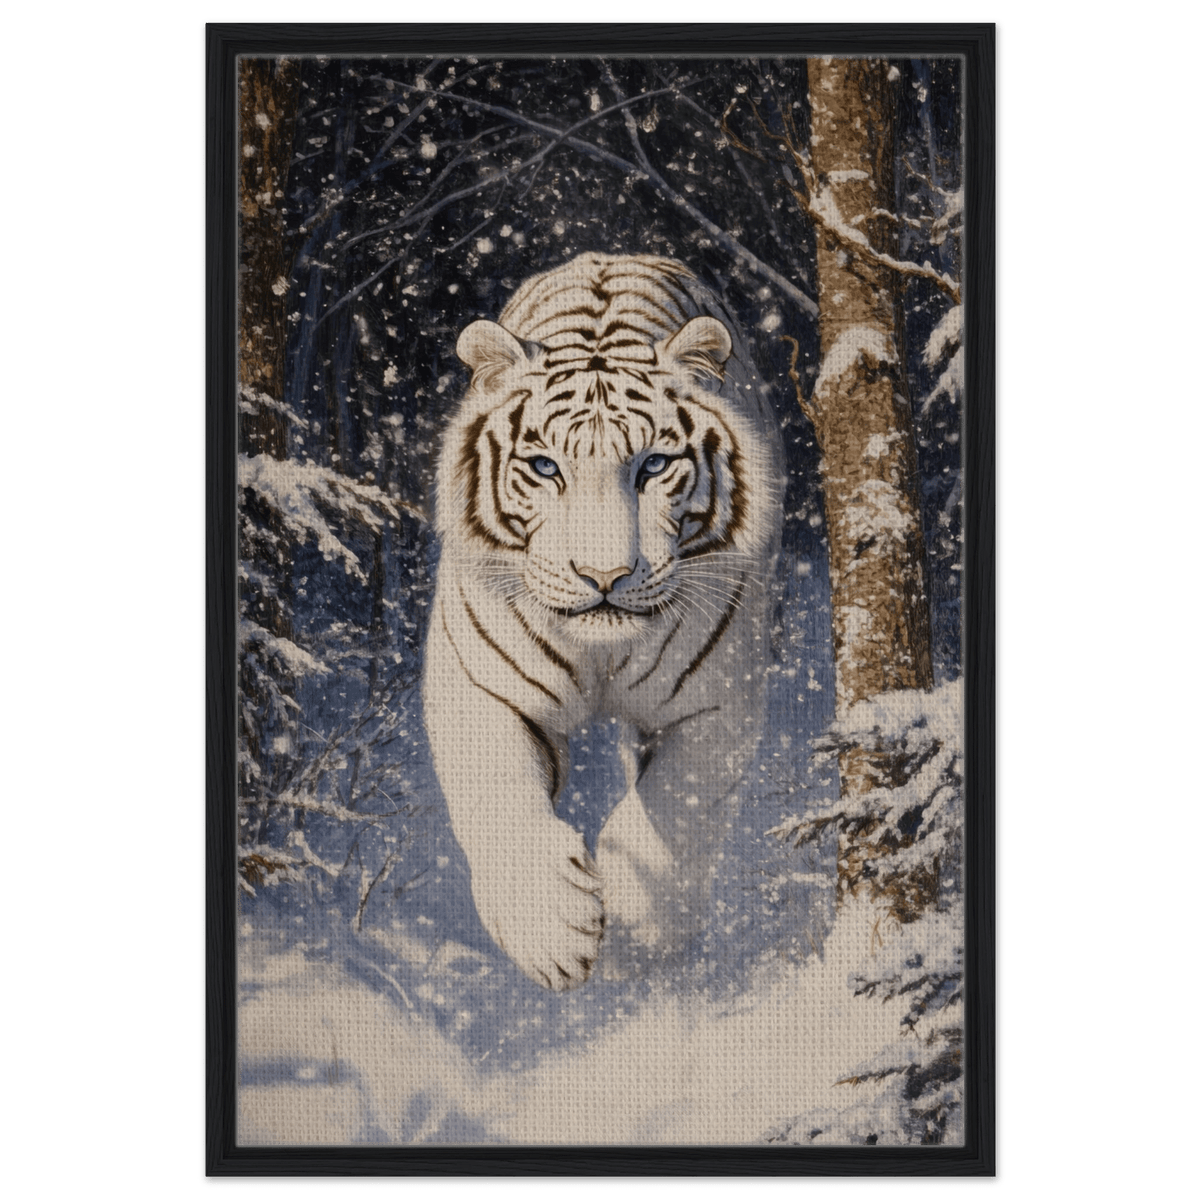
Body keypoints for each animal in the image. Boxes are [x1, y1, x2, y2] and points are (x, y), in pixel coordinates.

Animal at [421, 253, 783, 991]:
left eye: (654, 465)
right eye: (543, 467)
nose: (604, 577)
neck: (601, 654)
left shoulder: (717, 701)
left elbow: (672, 812)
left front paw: (637, 936)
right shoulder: (477, 686)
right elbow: (499, 797)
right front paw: (551, 934)